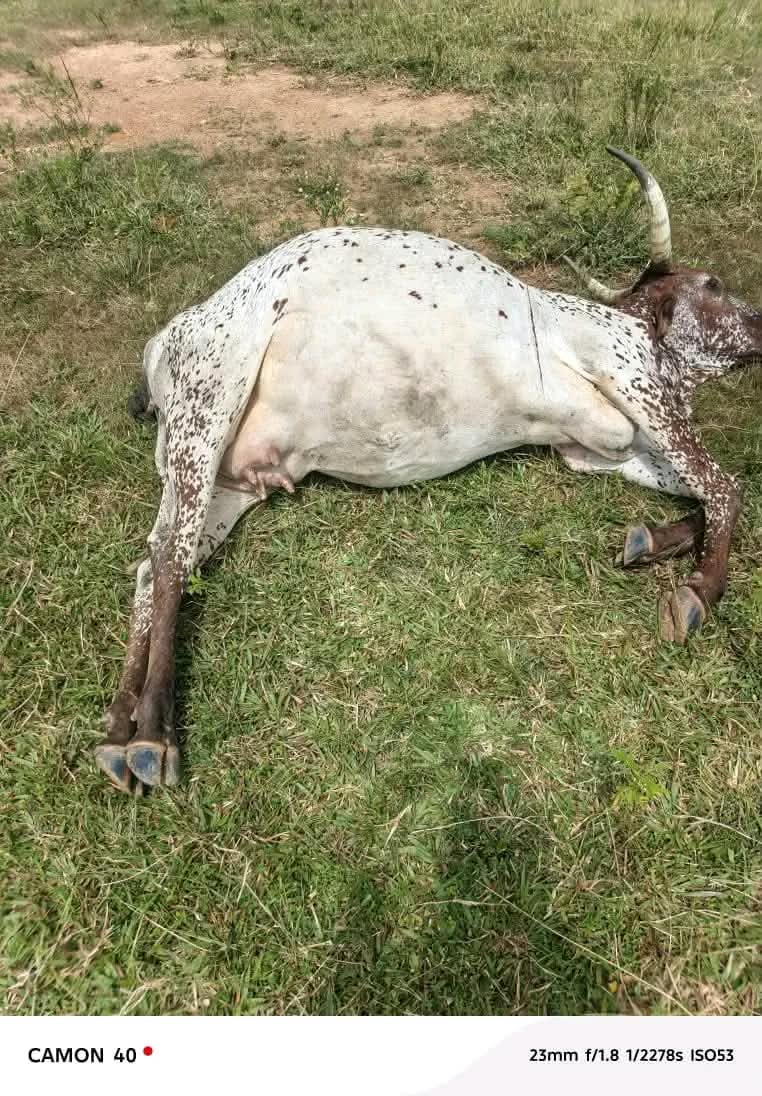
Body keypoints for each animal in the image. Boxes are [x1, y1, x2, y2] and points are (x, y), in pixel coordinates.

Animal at [96, 146, 762, 794]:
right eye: (713, 284)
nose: (760, 324)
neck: (640, 332)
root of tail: (164, 341)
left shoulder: (596, 449)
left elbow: (690, 489)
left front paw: (653, 540)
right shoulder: (634, 378)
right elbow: (725, 487)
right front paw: (699, 590)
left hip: (228, 481)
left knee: (154, 565)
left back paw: (117, 730)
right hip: (211, 398)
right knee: (170, 558)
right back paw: (152, 734)